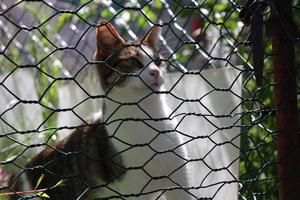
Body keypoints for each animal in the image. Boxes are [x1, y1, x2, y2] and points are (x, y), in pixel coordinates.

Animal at [9, 20, 195, 200]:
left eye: (158, 62)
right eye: (133, 61)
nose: (156, 72)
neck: (147, 115)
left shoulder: (179, 178)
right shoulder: (132, 189)